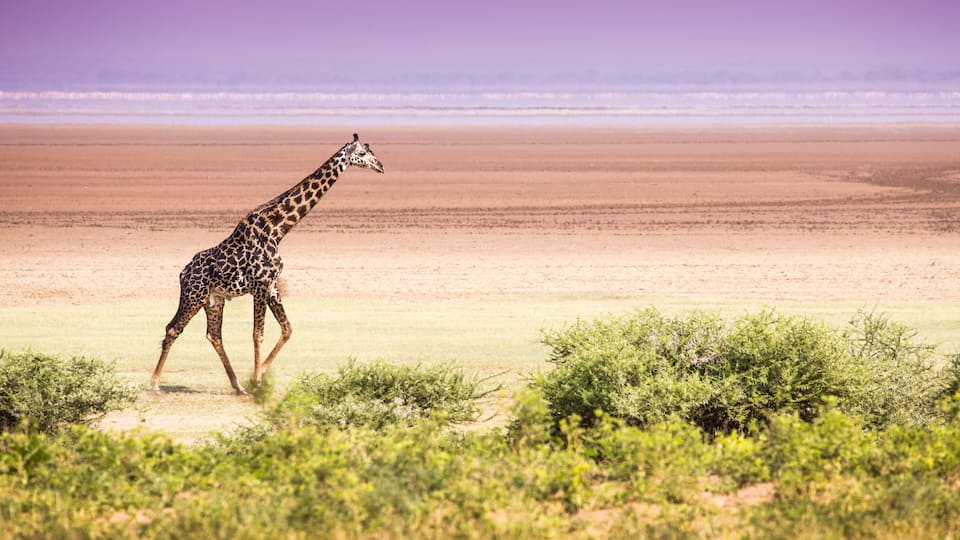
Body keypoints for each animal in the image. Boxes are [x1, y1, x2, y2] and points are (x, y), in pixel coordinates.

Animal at [150, 133, 384, 394]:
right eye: (362, 153)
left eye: (370, 151)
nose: (381, 166)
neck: (277, 229)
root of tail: (183, 273)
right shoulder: (261, 286)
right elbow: (258, 333)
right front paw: (258, 380)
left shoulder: (272, 286)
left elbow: (287, 329)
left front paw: (259, 374)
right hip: (194, 295)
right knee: (173, 328)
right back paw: (155, 383)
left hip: (214, 300)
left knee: (214, 335)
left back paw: (237, 385)